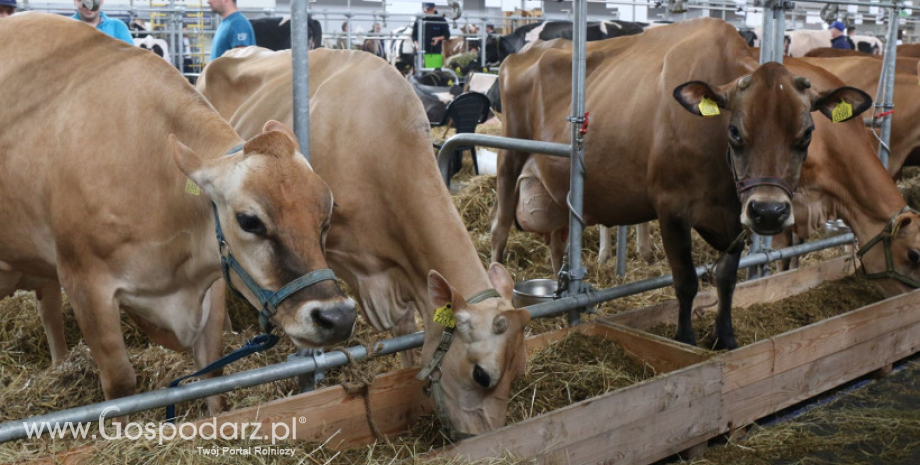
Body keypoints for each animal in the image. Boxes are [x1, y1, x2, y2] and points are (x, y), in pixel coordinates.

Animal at [0, 14, 356, 412]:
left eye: (327, 217)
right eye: (249, 221)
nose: (338, 317)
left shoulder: (212, 280)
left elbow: (212, 376)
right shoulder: (86, 284)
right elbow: (120, 386)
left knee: (47, 308)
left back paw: (60, 363)